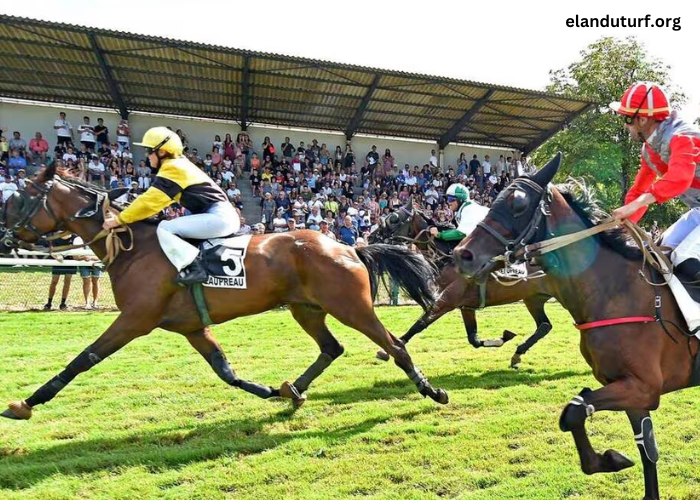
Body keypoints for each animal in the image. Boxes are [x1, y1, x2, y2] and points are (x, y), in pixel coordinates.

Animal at [0, 165, 448, 422]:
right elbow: (225, 371)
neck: (134, 247)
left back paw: (431, 390)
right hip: (306, 309)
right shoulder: (191, 328)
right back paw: (292, 389)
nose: (5, 238)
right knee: (331, 348)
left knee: (394, 345)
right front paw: (268, 390)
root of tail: (347, 246)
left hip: (350, 306)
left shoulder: (135, 319)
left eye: (18, 200)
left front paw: (27, 402)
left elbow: (84, 359)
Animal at [370, 197, 556, 370]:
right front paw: (503, 337)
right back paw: (517, 354)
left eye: (394, 218)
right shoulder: (466, 306)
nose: (371, 236)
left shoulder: (447, 301)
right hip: (533, 298)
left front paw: (389, 350)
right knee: (545, 325)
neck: (449, 260)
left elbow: (420, 324)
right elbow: (474, 339)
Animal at [454, 151, 700, 500]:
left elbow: (573, 409)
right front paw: (609, 459)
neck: (614, 290)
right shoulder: (630, 389)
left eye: (518, 203)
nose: (463, 254)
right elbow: (641, 447)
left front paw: (610, 458)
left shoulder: (644, 386)